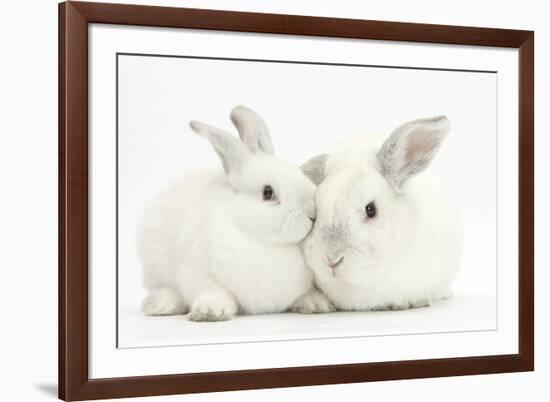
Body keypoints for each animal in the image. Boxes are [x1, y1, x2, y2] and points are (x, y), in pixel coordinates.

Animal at [140, 105, 334, 322]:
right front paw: (211, 311)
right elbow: (212, 290)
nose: (312, 214)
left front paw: (316, 303)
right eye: (267, 192)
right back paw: (160, 306)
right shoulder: (197, 270)